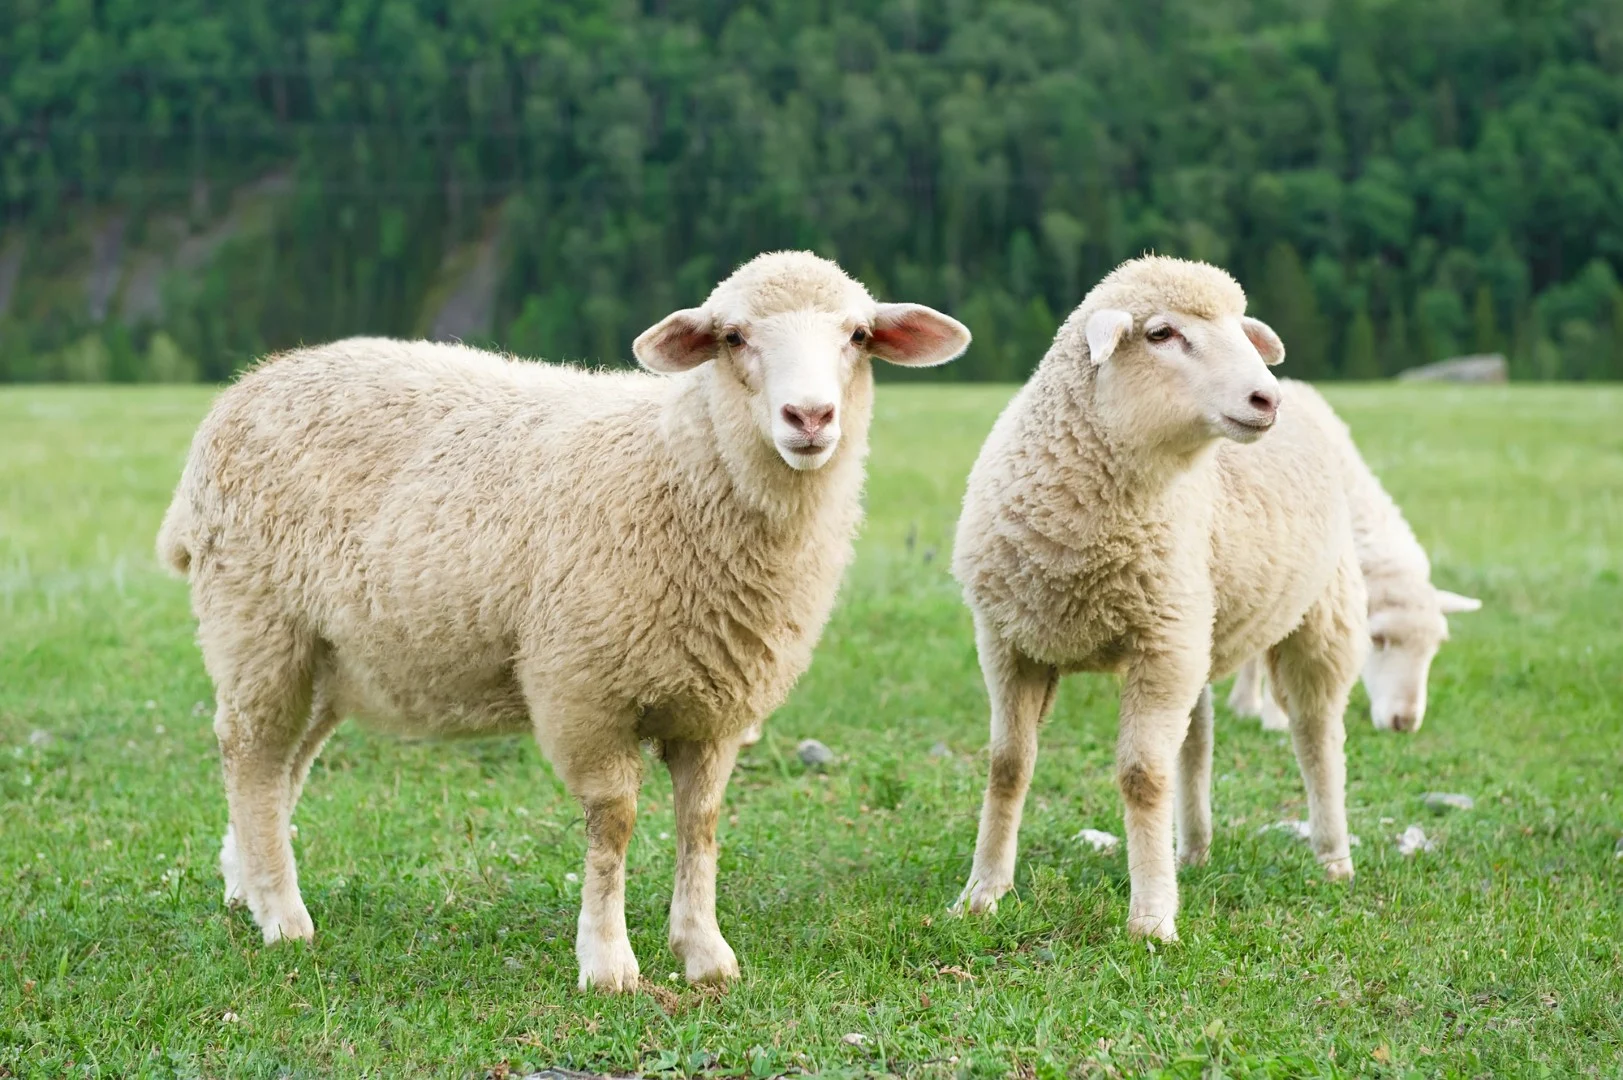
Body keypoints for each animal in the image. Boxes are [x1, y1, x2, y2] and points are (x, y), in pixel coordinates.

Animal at [156, 251, 970, 991]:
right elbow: (613, 824)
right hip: (256, 622)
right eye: (733, 336)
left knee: (283, 766)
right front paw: (608, 963)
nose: (809, 417)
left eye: (859, 335)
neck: (681, 467)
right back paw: (282, 917)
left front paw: (704, 953)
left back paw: (247, 883)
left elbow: (700, 823)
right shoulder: (585, 689)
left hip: (328, 654)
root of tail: (245, 389)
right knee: (251, 754)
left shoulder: (715, 706)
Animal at [949, 255, 1367, 942]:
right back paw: (1191, 851)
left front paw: (1151, 917)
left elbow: (1142, 777)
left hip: (1317, 615)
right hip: (1198, 624)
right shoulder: (1010, 643)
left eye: (1241, 329)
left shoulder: (1160, 644)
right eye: (1161, 334)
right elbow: (1007, 766)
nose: (1266, 399)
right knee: (1196, 741)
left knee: (1317, 734)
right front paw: (983, 893)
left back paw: (1333, 857)